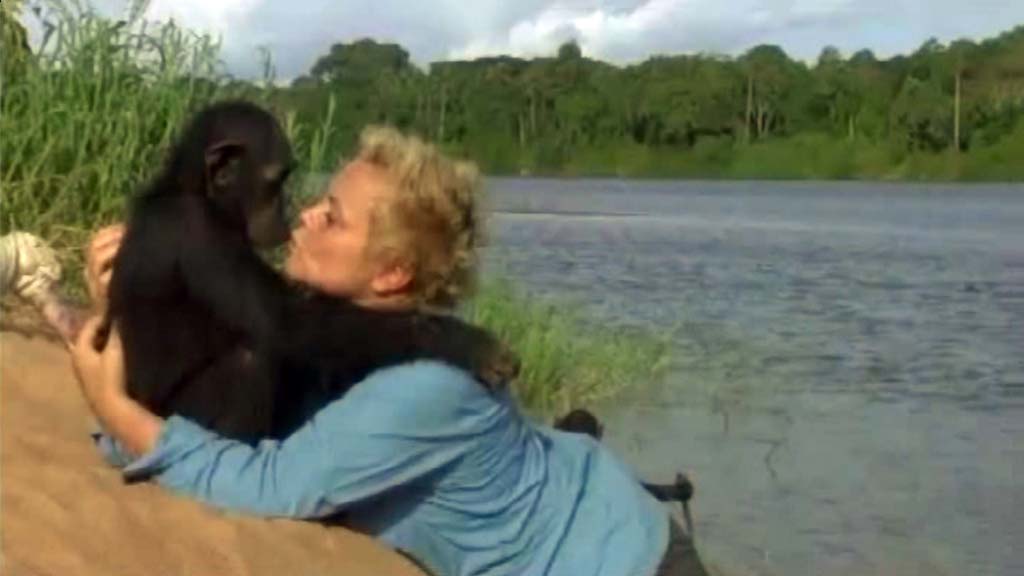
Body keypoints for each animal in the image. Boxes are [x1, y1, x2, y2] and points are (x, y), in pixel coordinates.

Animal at [97, 101, 520, 444]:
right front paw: (464, 342)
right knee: (248, 361)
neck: (197, 192)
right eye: (275, 181)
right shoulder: (201, 235)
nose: (289, 211)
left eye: (286, 180)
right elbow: (286, 322)